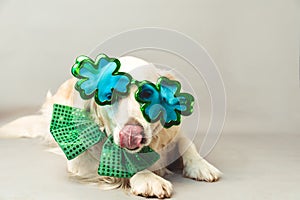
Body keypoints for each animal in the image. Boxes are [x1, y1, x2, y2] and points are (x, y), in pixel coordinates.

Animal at [0, 55, 220, 198]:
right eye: (110, 95)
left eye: (147, 94)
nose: (132, 134)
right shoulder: (81, 161)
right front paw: (148, 178)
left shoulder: (172, 134)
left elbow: (187, 143)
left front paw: (201, 166)